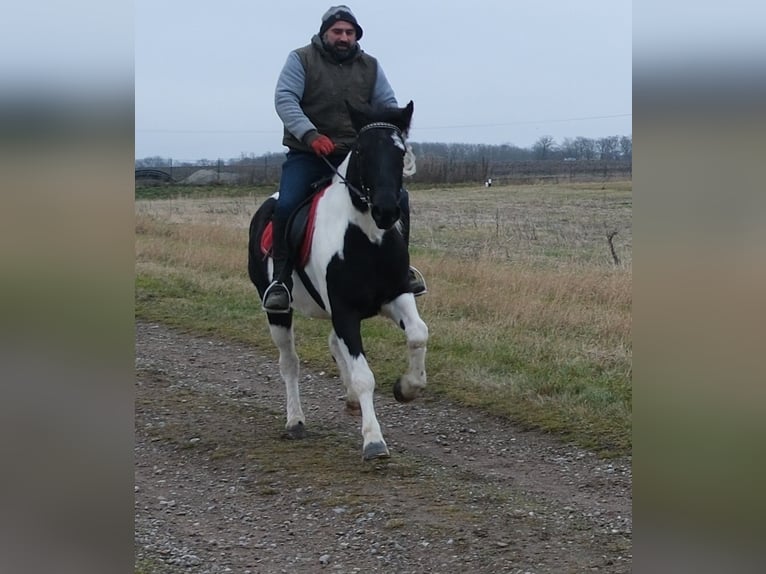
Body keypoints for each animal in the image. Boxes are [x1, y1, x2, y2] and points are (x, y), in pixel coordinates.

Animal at [247, 101, 428, 461]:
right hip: (278, 314)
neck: (366, 237)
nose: (386, 210)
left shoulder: (396, 296)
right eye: (362, 151)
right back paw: (295, 421)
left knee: (333, 344)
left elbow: (418, 334)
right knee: (289, 363)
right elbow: (363, 375)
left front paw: (407, 387)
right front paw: (373, 441)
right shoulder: (345, 311)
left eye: (400, 152)